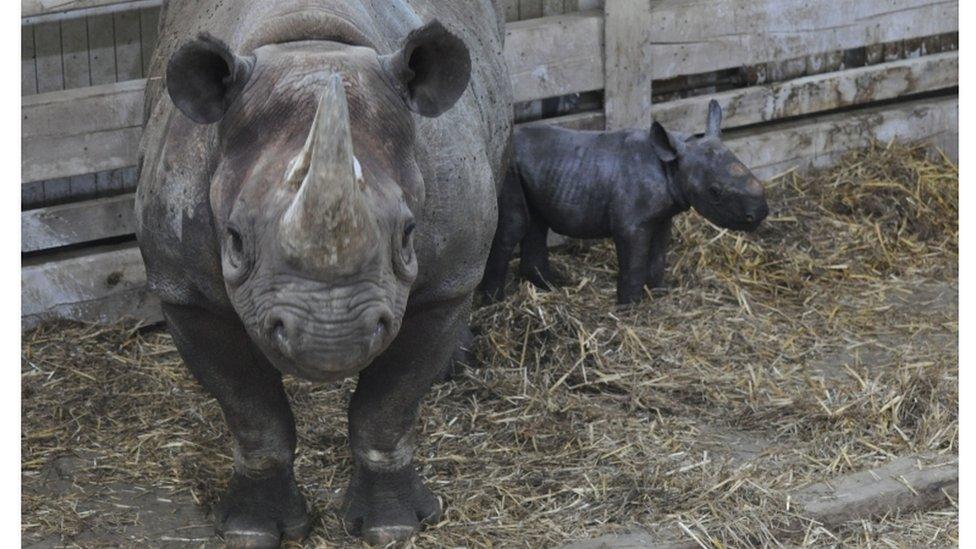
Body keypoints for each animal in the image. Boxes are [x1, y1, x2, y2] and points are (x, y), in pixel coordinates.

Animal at [135, 2, 510, 544]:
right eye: (235, 239)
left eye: (408, 234)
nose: (332, 336)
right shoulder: (186, 291)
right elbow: (254, 416)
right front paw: (254, 531)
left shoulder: (443, 283)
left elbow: (387, 410)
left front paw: (391, 526)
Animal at [480, 100, 772, 302]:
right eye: (715, 192)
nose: (760, 213)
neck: (673, 164)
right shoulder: (631, 224)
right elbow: (634, 259)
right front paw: (630, 306)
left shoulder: (663, 216)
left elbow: (659, 254)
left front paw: (659, 292)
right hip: (508, 168)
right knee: (515, 223)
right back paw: (493, 300)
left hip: (534, 169)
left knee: (537, 221)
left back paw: (550, 285)